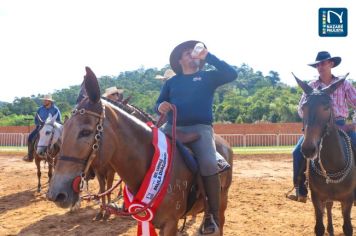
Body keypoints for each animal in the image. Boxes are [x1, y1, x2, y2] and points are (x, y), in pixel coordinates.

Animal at [294, 74, 354, 236]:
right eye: (304, 107)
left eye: (327, 106)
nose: (309, 149)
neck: (333, 165)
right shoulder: (317, 198)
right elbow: (319, 227)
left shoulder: (348, 200)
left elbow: (348, 228)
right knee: (329, 206)